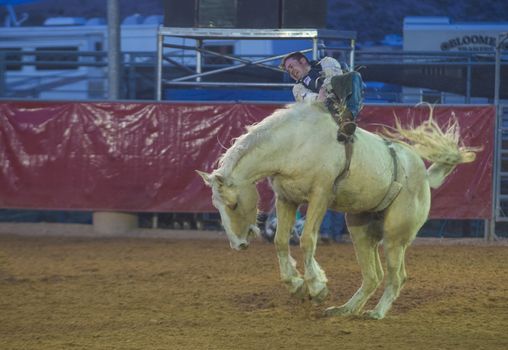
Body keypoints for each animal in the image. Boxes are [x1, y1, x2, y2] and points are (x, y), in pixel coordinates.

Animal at [197, 102, 476, 320]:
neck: (294, 142)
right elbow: (280, 241)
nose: (238, 244)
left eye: (233, 204)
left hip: (395, 236)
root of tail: (424, 175)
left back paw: (377, 312)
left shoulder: (321, 195)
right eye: (216, 206)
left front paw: (316, 286)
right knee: (373, 276)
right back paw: (346, 309)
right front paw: (297, 285)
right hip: (360, 229)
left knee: (397, 277)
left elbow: (307, 239)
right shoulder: (286, 198)